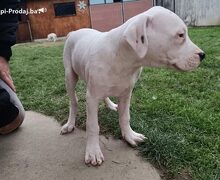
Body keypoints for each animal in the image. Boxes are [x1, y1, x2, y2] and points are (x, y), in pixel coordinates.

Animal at [59, 6, 205, 166]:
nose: (203, 55)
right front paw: (93, 152)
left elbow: (125, 117)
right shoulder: (92, 97)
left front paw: (129, 136)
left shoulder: (126, 93)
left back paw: (110, 105)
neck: (123, 59)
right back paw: (70, 124)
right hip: (70, 76)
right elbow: (92, 126)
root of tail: (74, 32)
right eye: (180, 35)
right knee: (73, 101)